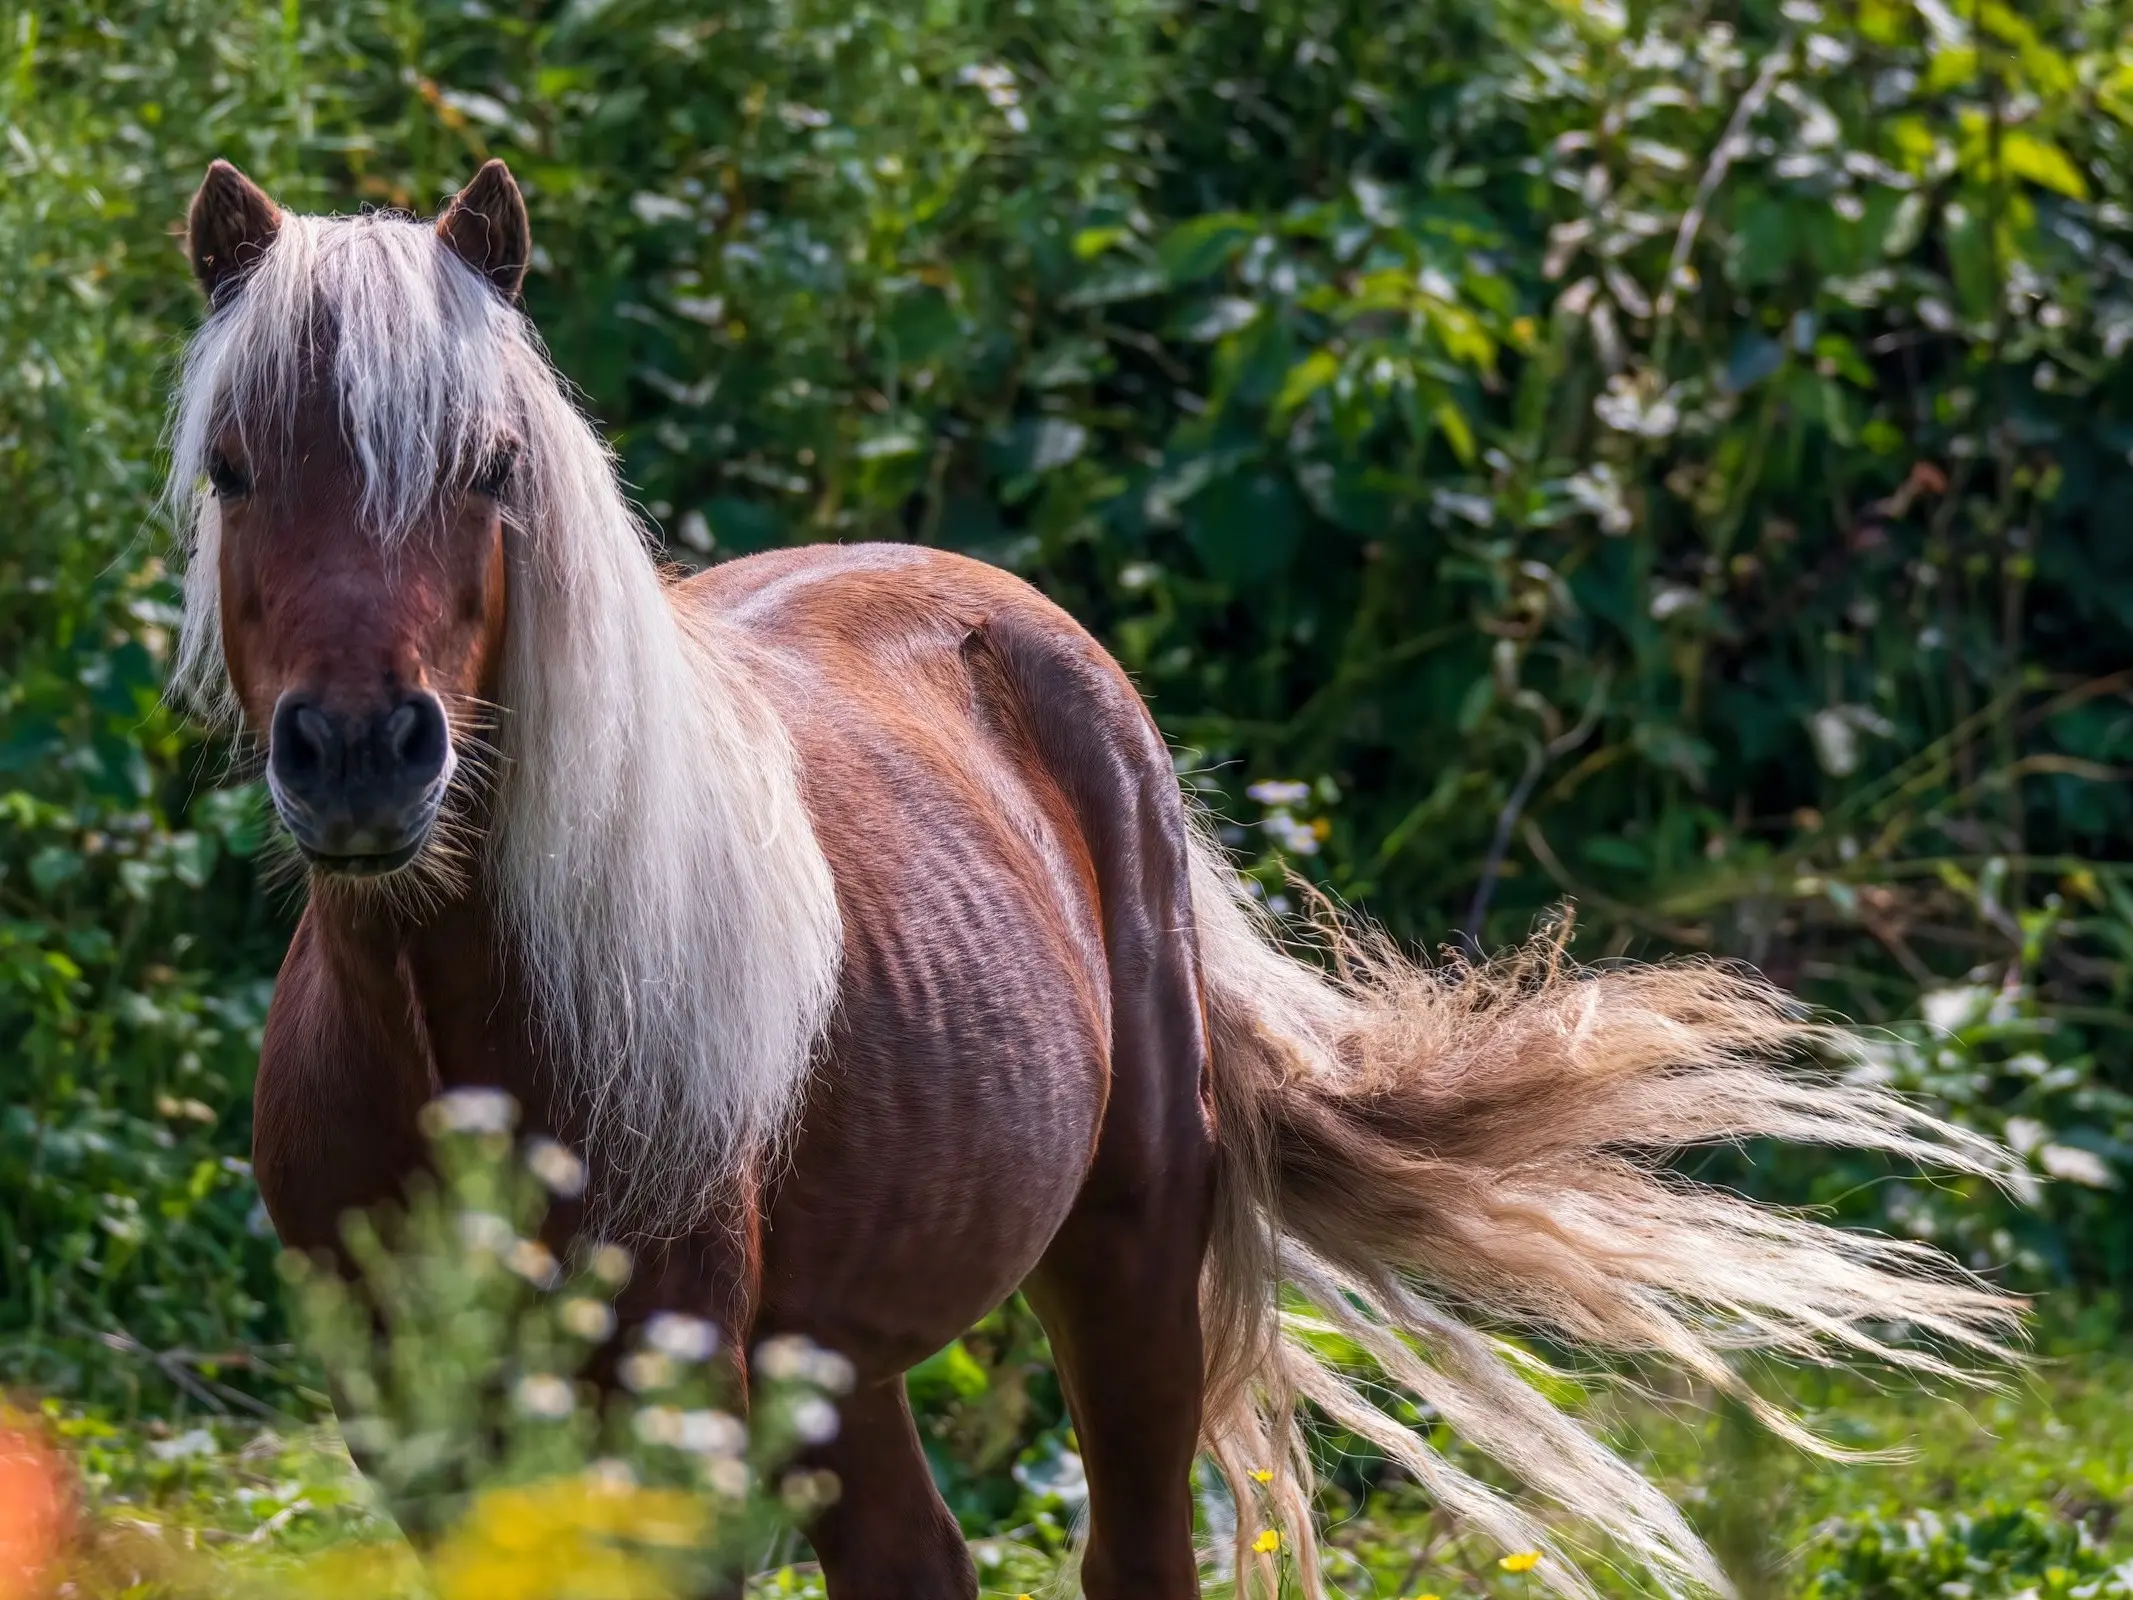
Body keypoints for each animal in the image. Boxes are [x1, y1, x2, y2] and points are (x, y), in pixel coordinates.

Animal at [170, 163, 2013, 1600]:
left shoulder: (665, 1423)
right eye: (232, 468)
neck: (458, 1045)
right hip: (841, 1347)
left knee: (1132, 1547)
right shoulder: (427, 1433)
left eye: (490, 466)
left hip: (1124, 1270)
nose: (361, 752)